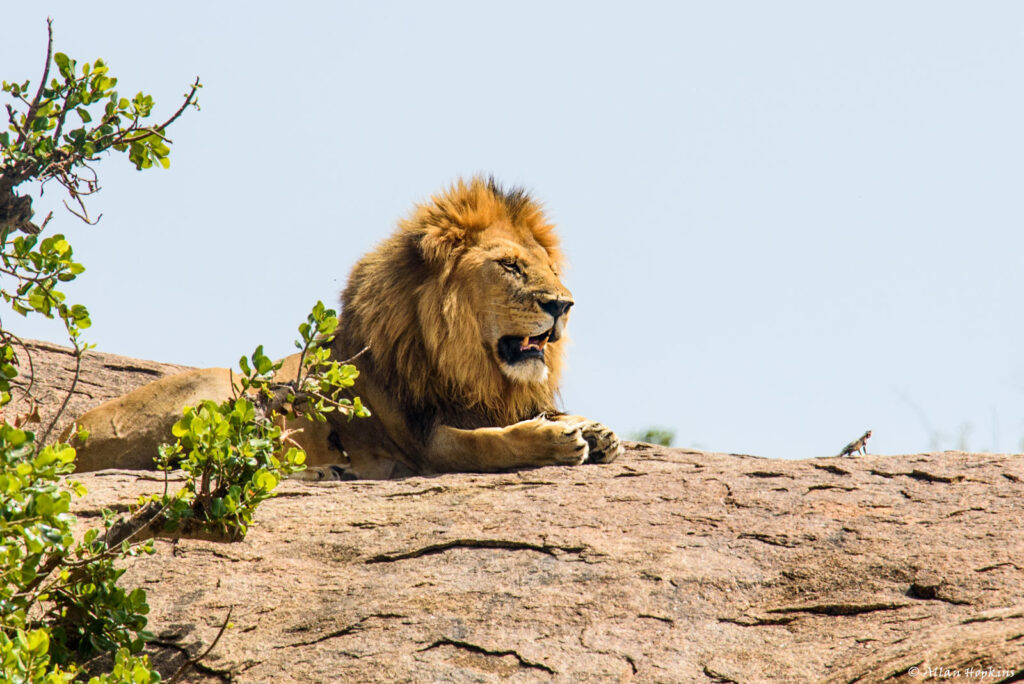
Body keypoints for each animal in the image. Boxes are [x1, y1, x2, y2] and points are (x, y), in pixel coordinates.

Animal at [68, 176, 622, 479]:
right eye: (509, 266)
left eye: (548, 268)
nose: (564, 305)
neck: (466, 363)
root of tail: (67, 437)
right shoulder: (424, 443)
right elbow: (490, 443)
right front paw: (556, 440)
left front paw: (597, 430)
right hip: (217, 386)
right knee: (205, 461)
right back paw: (323, 469)